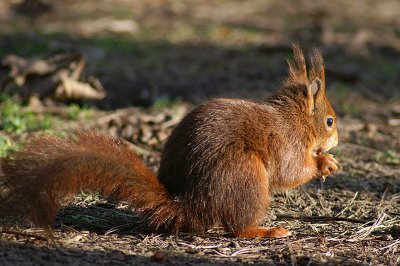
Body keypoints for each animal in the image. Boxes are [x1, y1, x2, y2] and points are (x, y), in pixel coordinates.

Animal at [0, 44, 338, 238]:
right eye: (330, 121)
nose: (335, 141)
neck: (295, 120)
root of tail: (191, 205)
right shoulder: (286, 141)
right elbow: (290, 172)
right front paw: (323, 162)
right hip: (246, 175)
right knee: (238, 228)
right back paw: (266, 230)